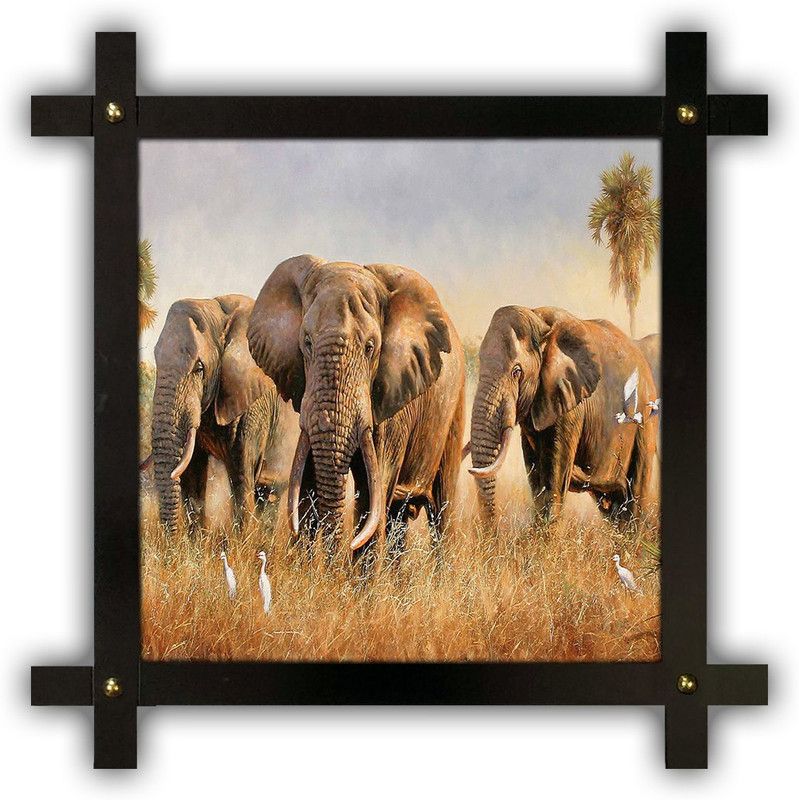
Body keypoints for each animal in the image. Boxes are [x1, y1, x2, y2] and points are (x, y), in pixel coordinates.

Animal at [142, 294, 297, 535]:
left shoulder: (255, 404)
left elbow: (242, 475)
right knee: (269, 494)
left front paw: (242, 543)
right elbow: (193, 475)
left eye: (199, 368)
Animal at [247, 254, 465, 560]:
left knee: (441, 508)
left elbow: (372, 490)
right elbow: (308, 481)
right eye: (307, 343)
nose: (332, 560)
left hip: (455, 406)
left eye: (370, 347)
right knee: (398, 516)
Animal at [467, 305, 658, 529]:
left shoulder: (570, 406)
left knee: (635, 493)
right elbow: (535, 475)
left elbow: (553, 475)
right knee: (612, 505)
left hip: (644, 421)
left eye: (516, 371)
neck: (538, 319)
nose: (495, 534)